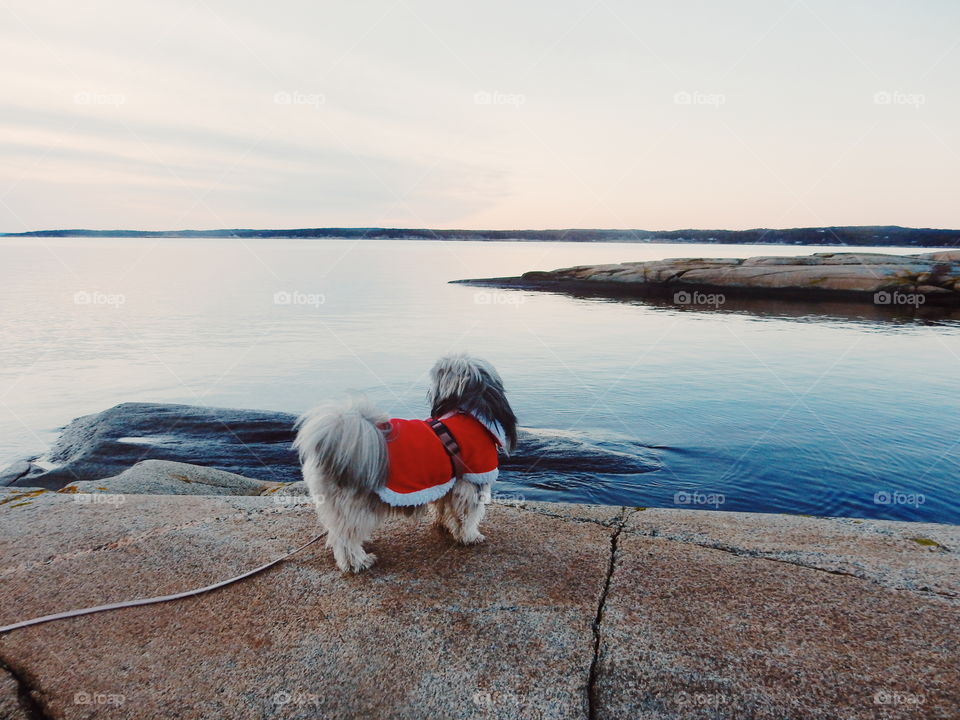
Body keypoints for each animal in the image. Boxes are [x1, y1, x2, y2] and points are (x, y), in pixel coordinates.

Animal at [292, 354, 516, 572]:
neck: (470, 414)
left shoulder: (449, 483)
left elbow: (445, 508)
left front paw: (445, 526)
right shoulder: (471, 481)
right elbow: (468, 515)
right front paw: (470, 536)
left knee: (338, 534)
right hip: (355, 506)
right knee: (345, 539)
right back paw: (358, 562)